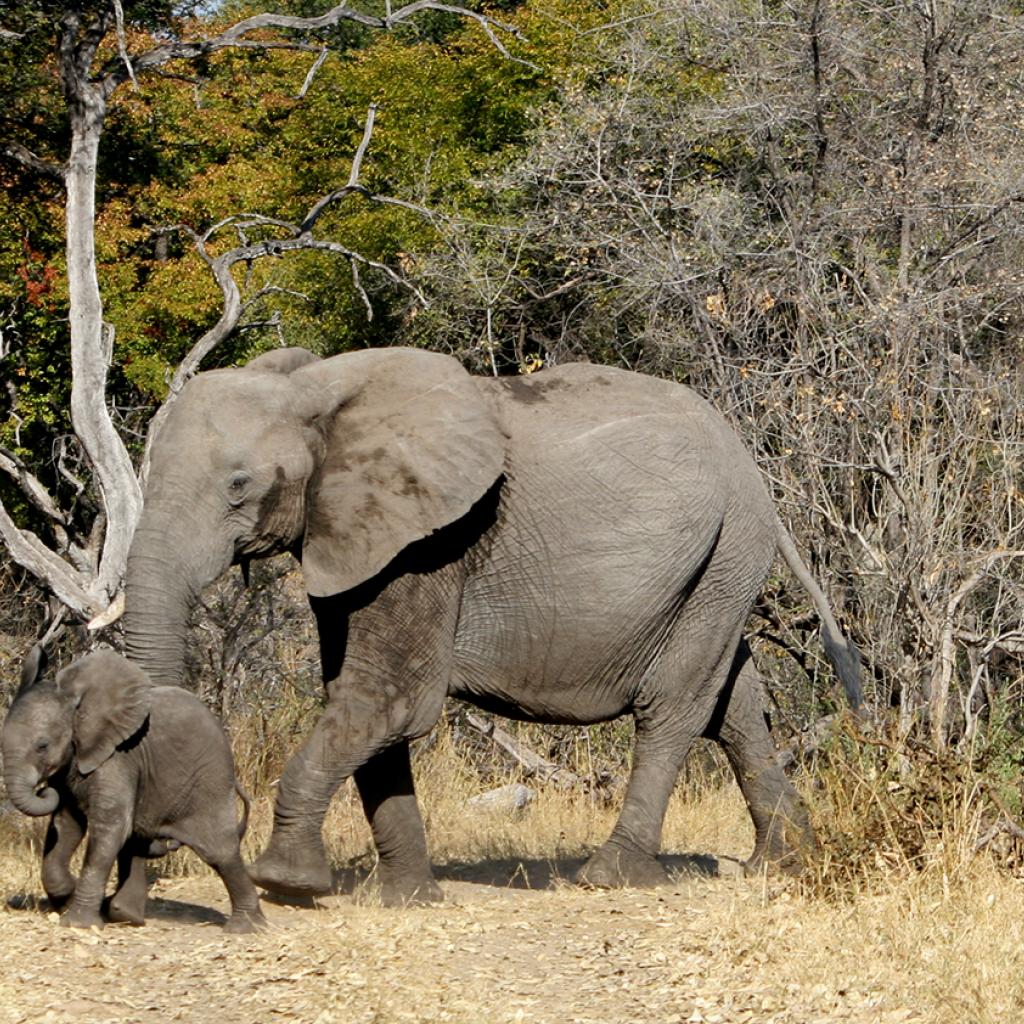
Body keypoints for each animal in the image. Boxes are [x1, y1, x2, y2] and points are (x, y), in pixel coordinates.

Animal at [2, 651, 266, 933]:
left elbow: (110, 828)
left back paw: (247, 928)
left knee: (219, 850)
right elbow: (67, 825)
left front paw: (78, 923)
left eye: (42, 746)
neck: (77, 704)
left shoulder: (118, 758)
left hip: (209, 780)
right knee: (137, 842)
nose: (44, 790)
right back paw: (124, 914)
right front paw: (67, 896)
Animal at [119, 346, 860, 905]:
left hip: (728, 551)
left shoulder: (432, 541)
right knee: (735, 703)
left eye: (238, 485)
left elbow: (390, 700)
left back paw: (610, 877)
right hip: (723, 562)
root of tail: (754, 472)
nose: (153, 852)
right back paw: (781, 863)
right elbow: (365, 704)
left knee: (673, 706)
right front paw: (408, 900)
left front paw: (288, 884)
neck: (321, 387)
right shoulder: (356, 538)